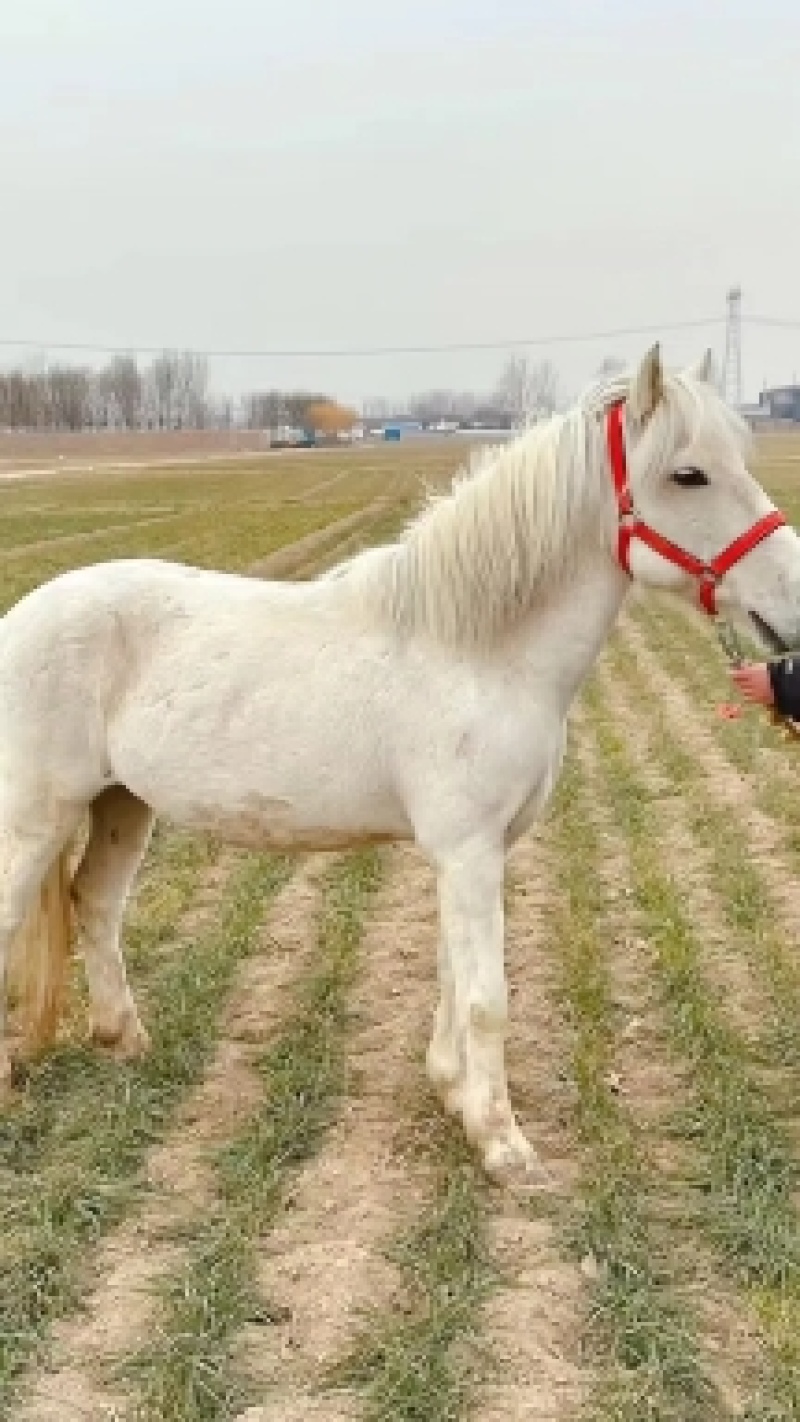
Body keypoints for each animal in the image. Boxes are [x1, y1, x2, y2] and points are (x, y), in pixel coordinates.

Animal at [2, 344, 799, 1186]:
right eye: (689, 474)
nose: (791, 605)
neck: (478, 651)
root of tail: (25, 616)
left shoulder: (474, 853)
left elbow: (453, 977)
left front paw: (454, 1094)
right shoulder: (469, 851)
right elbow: (488, 997)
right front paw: (504, 1144)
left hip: (122, 804)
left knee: (95, 903)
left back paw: (126, 1040)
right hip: (37, 816)